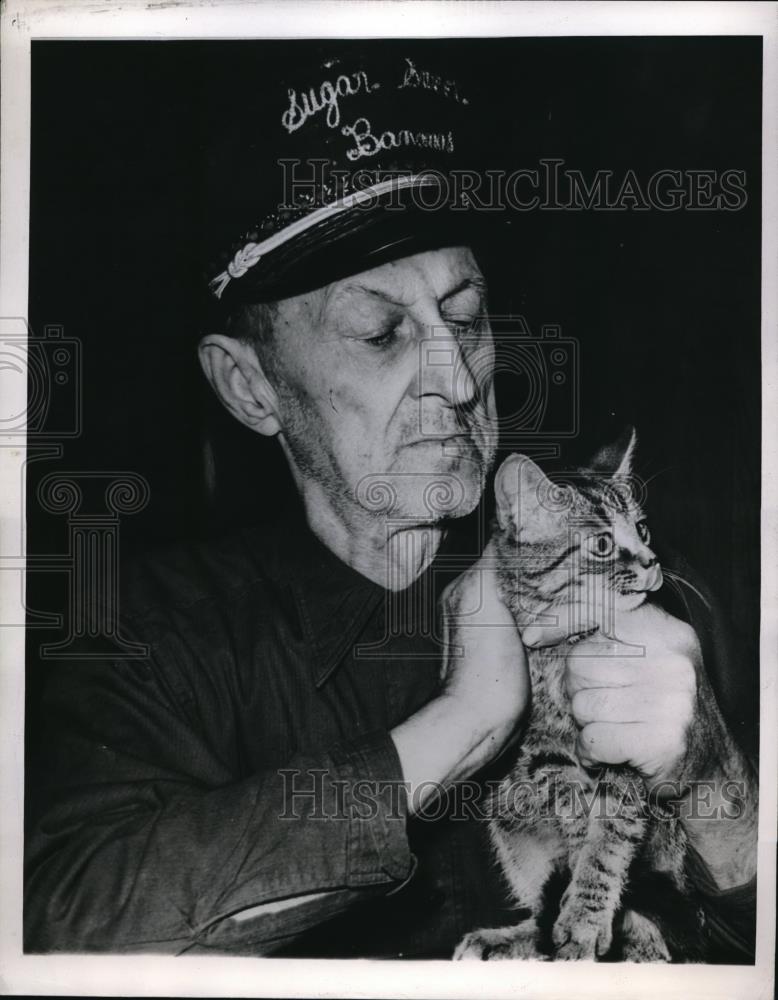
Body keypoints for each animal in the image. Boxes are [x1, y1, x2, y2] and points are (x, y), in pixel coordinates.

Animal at [452, 428, 696, 960]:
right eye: (603, 544)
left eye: (643, 530)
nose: (652, 561)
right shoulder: (541, 746)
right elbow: (578, 817)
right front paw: (577, 903)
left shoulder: (628, 742)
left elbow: (610, 834)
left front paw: (587, 912)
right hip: (507, 818)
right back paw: (506, 939)